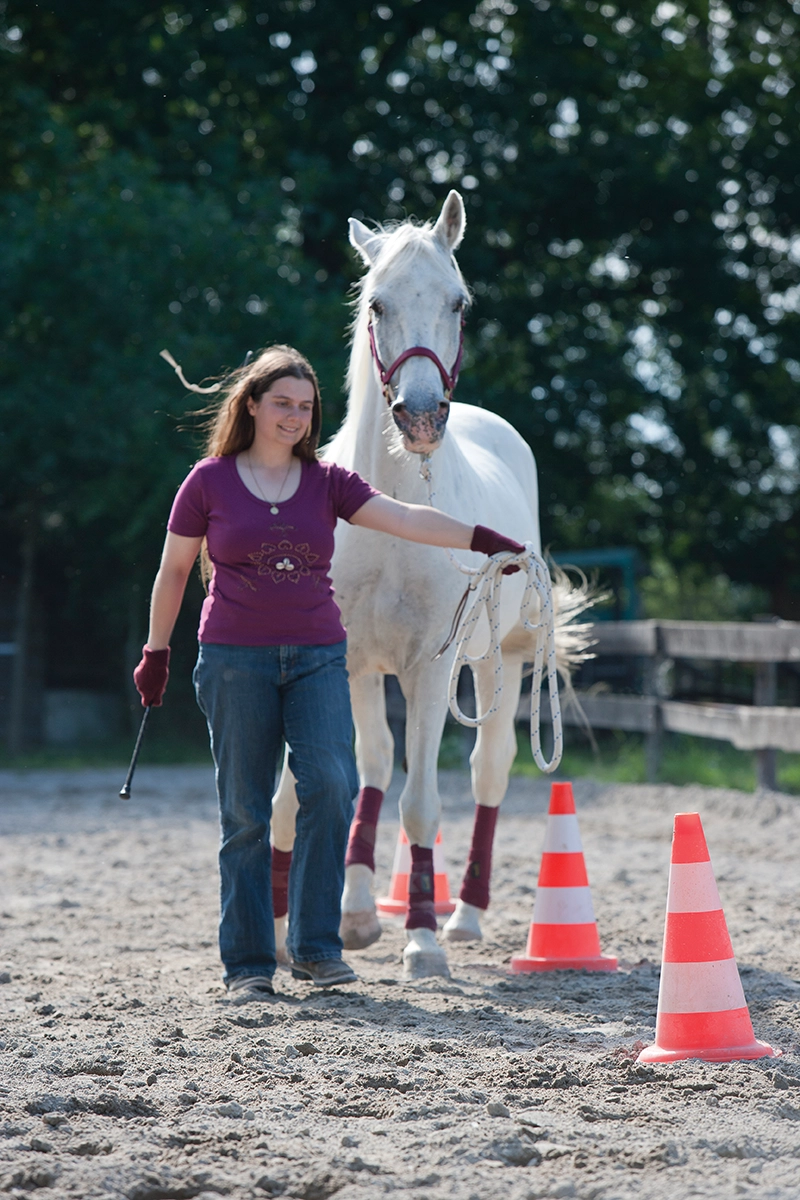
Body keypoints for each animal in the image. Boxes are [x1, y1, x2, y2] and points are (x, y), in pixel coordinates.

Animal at [270, 189, 585, 980]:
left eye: (458, 302)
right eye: (377, 304)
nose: (418, 417)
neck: (387, 512)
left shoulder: (431, 669)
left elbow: (421, 803)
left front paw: (422, 942)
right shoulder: (344, 662)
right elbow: (337, 779)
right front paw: (337, 922)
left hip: (500, 663)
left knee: (487, 771)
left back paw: (465, 916)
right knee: (378, 765)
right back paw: (364, 909)